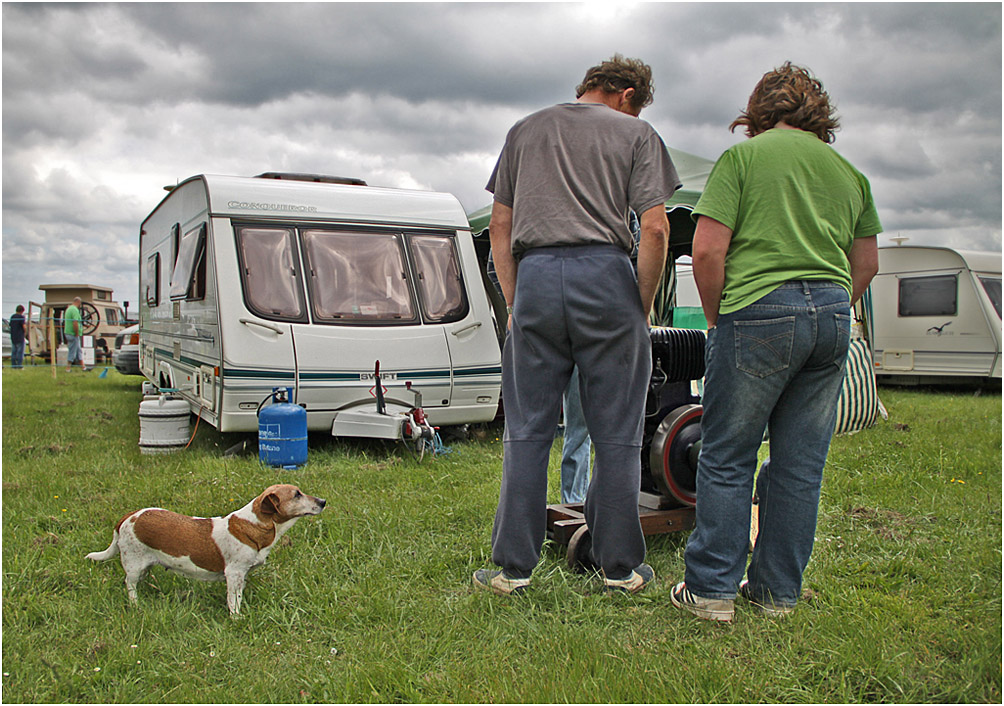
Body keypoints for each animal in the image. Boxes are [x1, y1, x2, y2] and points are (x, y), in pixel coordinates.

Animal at [85, 484, 325, 614]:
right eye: (296, 494)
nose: (323, 501)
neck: (255, 524)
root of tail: (129, 516)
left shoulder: (242, 575)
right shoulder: (234, 573)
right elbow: (233, 601)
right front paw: (236, 618)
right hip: (133, 565)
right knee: (130, 585)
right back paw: (136, 605)